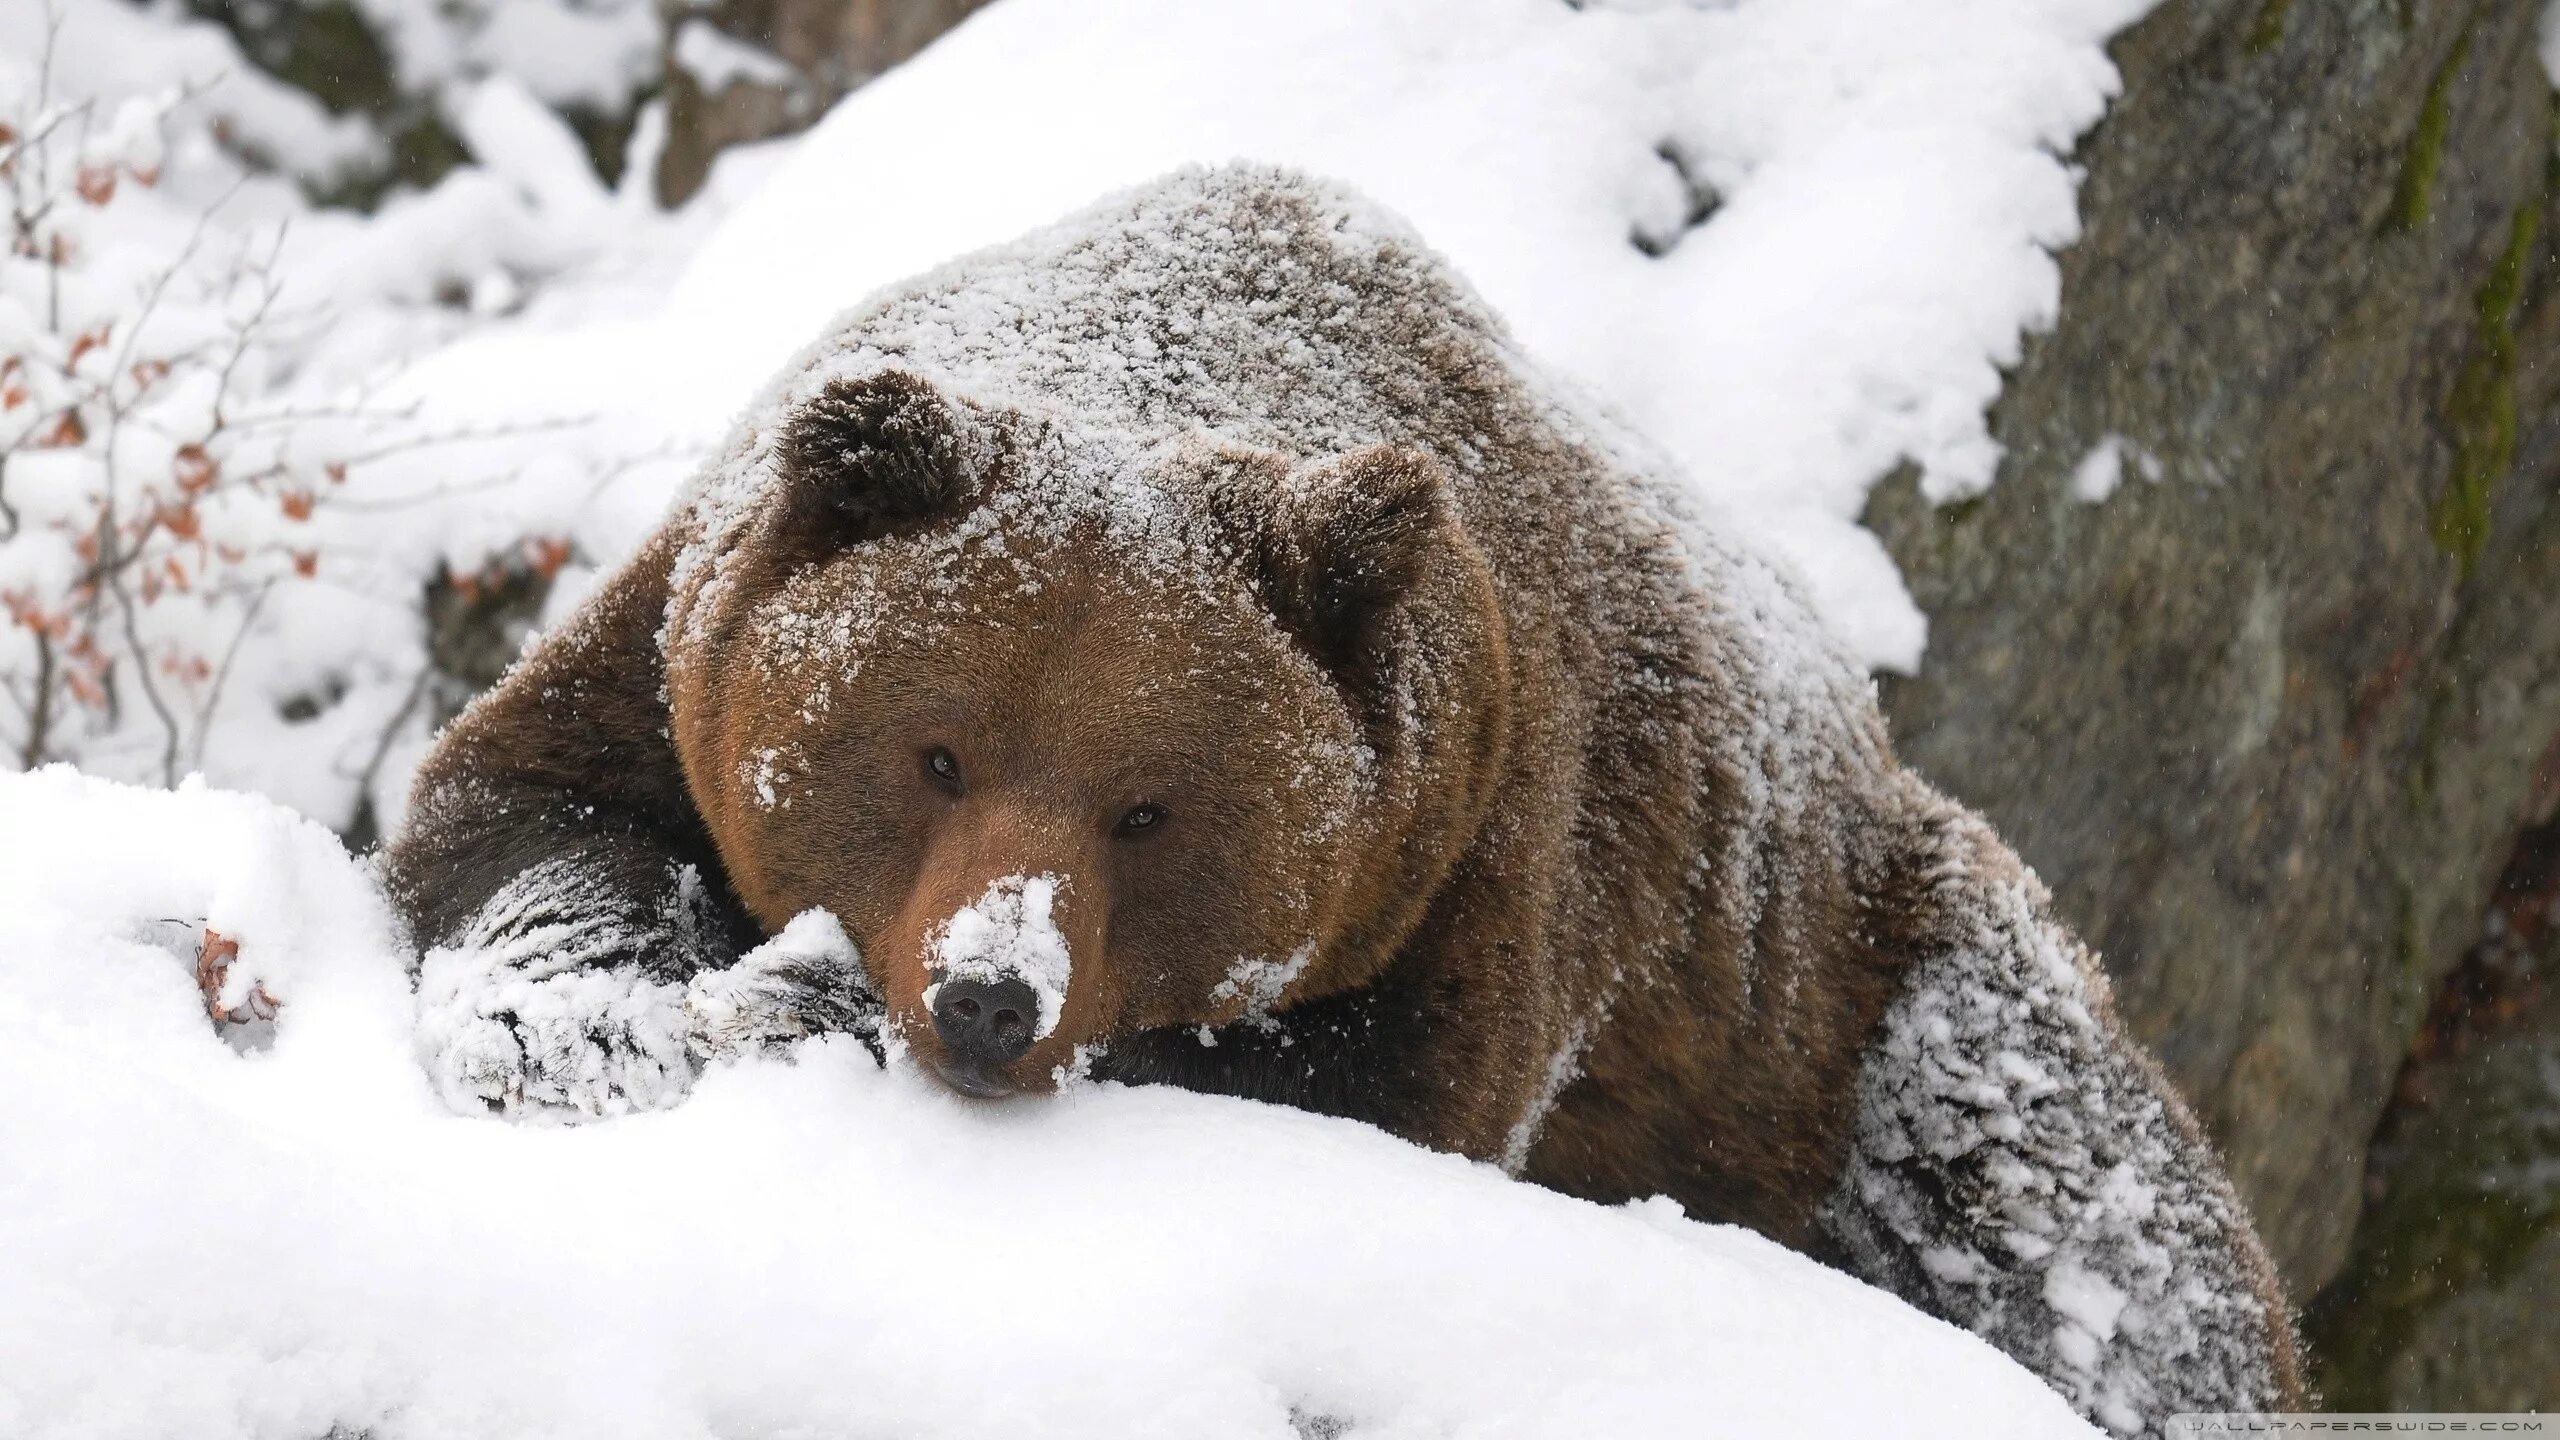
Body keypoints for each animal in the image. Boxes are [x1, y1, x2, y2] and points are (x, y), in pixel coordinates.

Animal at [389, 165, 2314, 1424]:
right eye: (933, 751)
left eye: (1150, 808)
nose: (992, 995)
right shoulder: (677, 641)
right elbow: (524, 809)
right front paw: (573, 1022)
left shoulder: (1481, 855)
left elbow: (1355, 1094)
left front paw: (799, 999)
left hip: (1856, 999)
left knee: (2077, 1220)